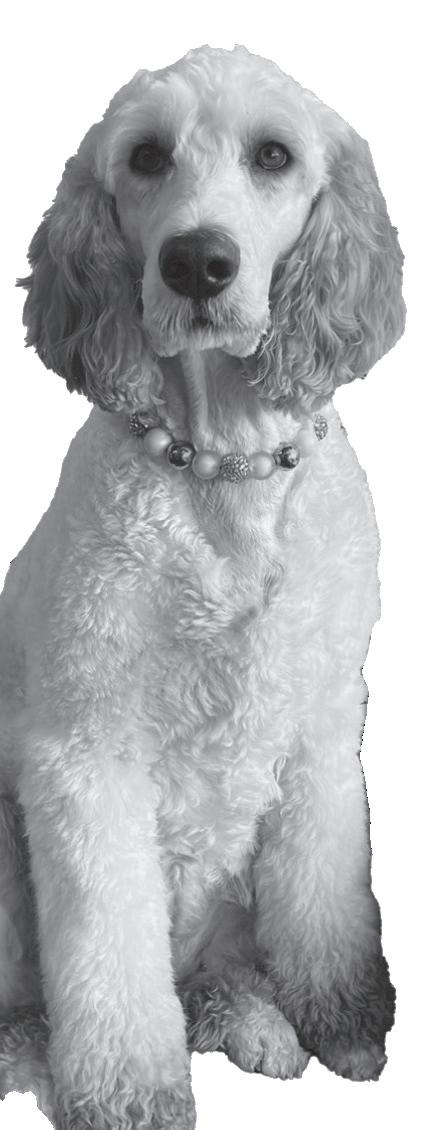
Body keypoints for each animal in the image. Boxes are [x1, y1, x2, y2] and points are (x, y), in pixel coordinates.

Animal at [0, 43, 405, 1130]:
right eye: (145, 156)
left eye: (273, 155)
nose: (196, 263)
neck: (223, 468)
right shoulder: (81, 756)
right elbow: (107, 964)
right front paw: (126, 1098)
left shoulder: (322, 725)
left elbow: (325, 897)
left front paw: (344, 1022)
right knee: (47, 1000)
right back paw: (35, 1057)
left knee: (207, 981)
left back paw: (253, 1019)